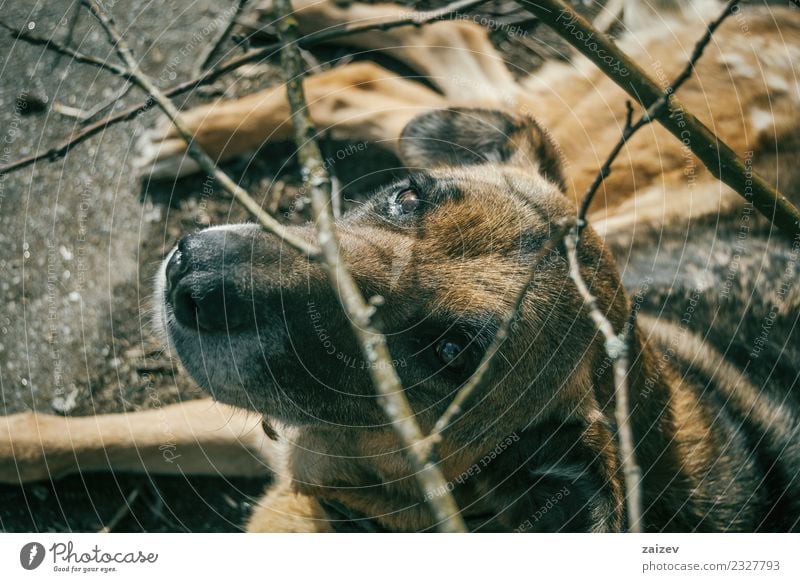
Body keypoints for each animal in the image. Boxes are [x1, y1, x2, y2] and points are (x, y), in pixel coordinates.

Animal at [0, 0, 796, 532]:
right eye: (406, 196)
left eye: (449, 352)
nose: (191, 273)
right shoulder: (265, 430)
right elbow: (60, 432)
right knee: (433, 56)